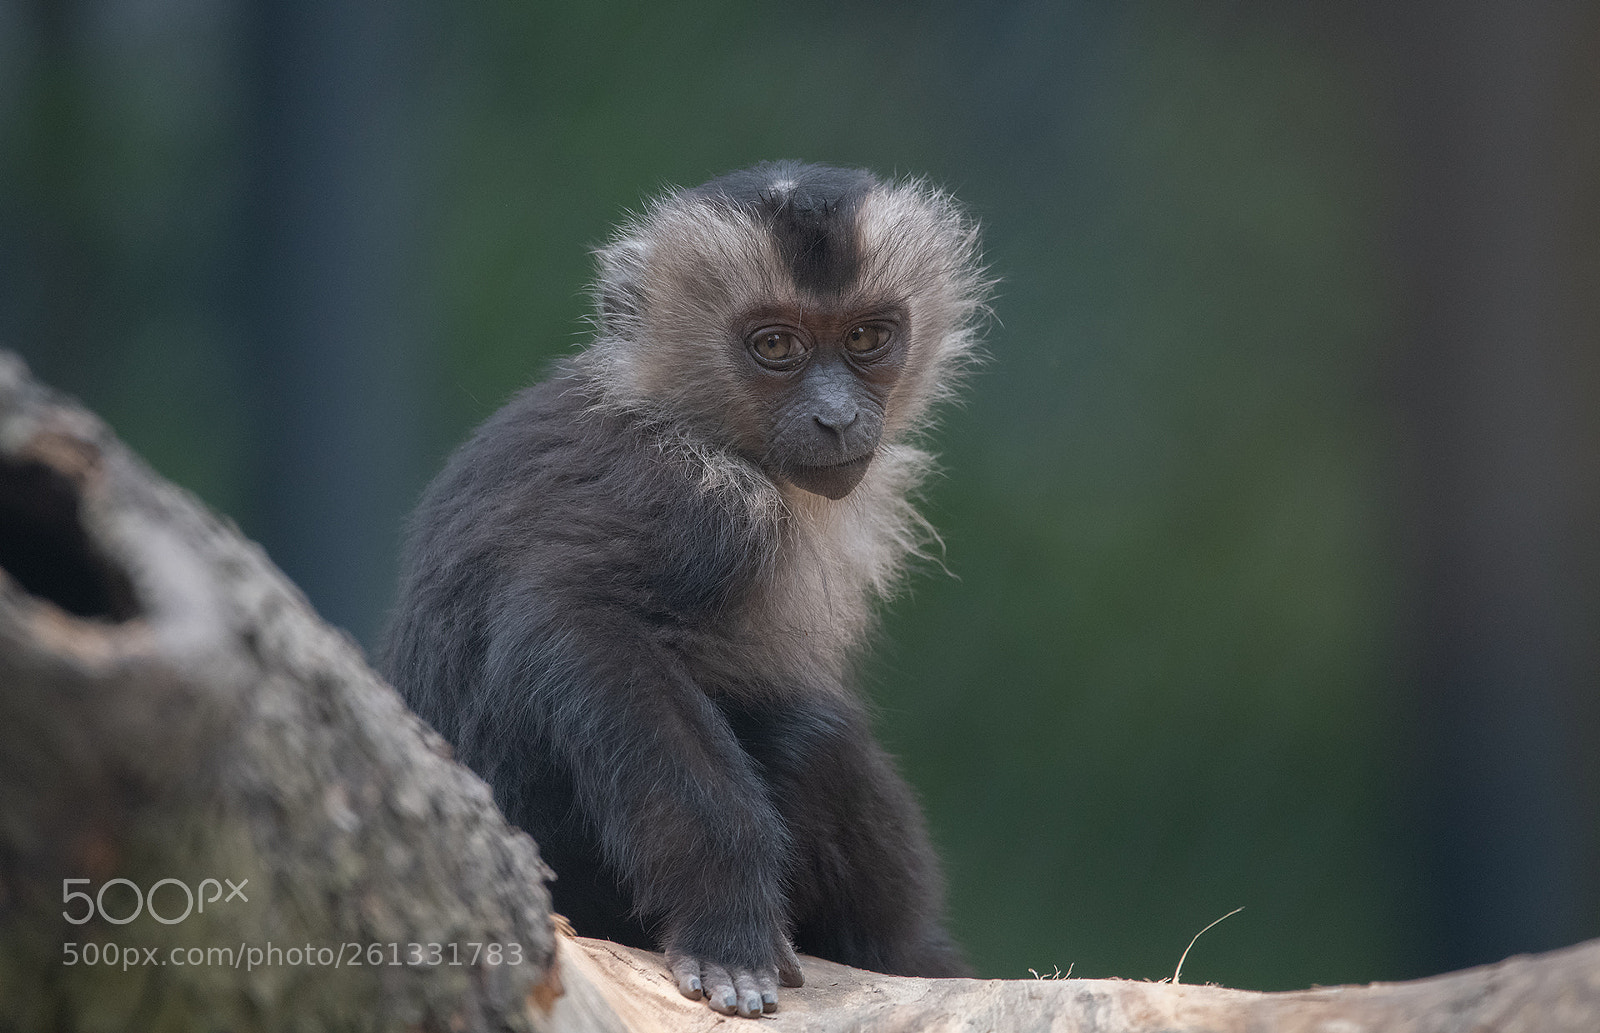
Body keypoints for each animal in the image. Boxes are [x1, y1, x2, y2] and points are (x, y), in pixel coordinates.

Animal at [381, 161, 989, 1018]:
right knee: (812, 735)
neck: (683, 417)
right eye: (776, 346)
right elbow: (573, 621)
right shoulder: (694, 502)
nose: (837, 418)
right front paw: (726, 926)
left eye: (867, 338)